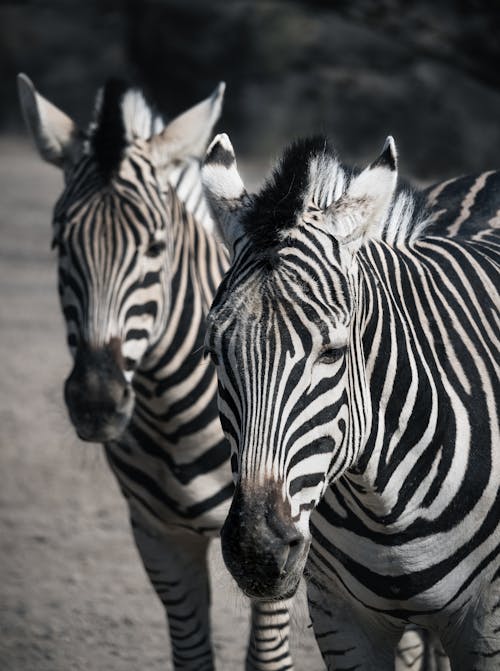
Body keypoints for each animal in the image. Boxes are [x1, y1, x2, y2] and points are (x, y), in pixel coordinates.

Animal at [17, 75, 294, 671]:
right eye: (59, 244)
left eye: (154, 246)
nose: (97, 400)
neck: (172, 418)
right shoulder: (158, 536)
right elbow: (191, 656)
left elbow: (267, 658)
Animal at [201, 133, 498, 671]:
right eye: (214, 352)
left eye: (333, 353)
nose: (258, 550)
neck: (383, 505)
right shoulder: (338, 615)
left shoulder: (486, 618)